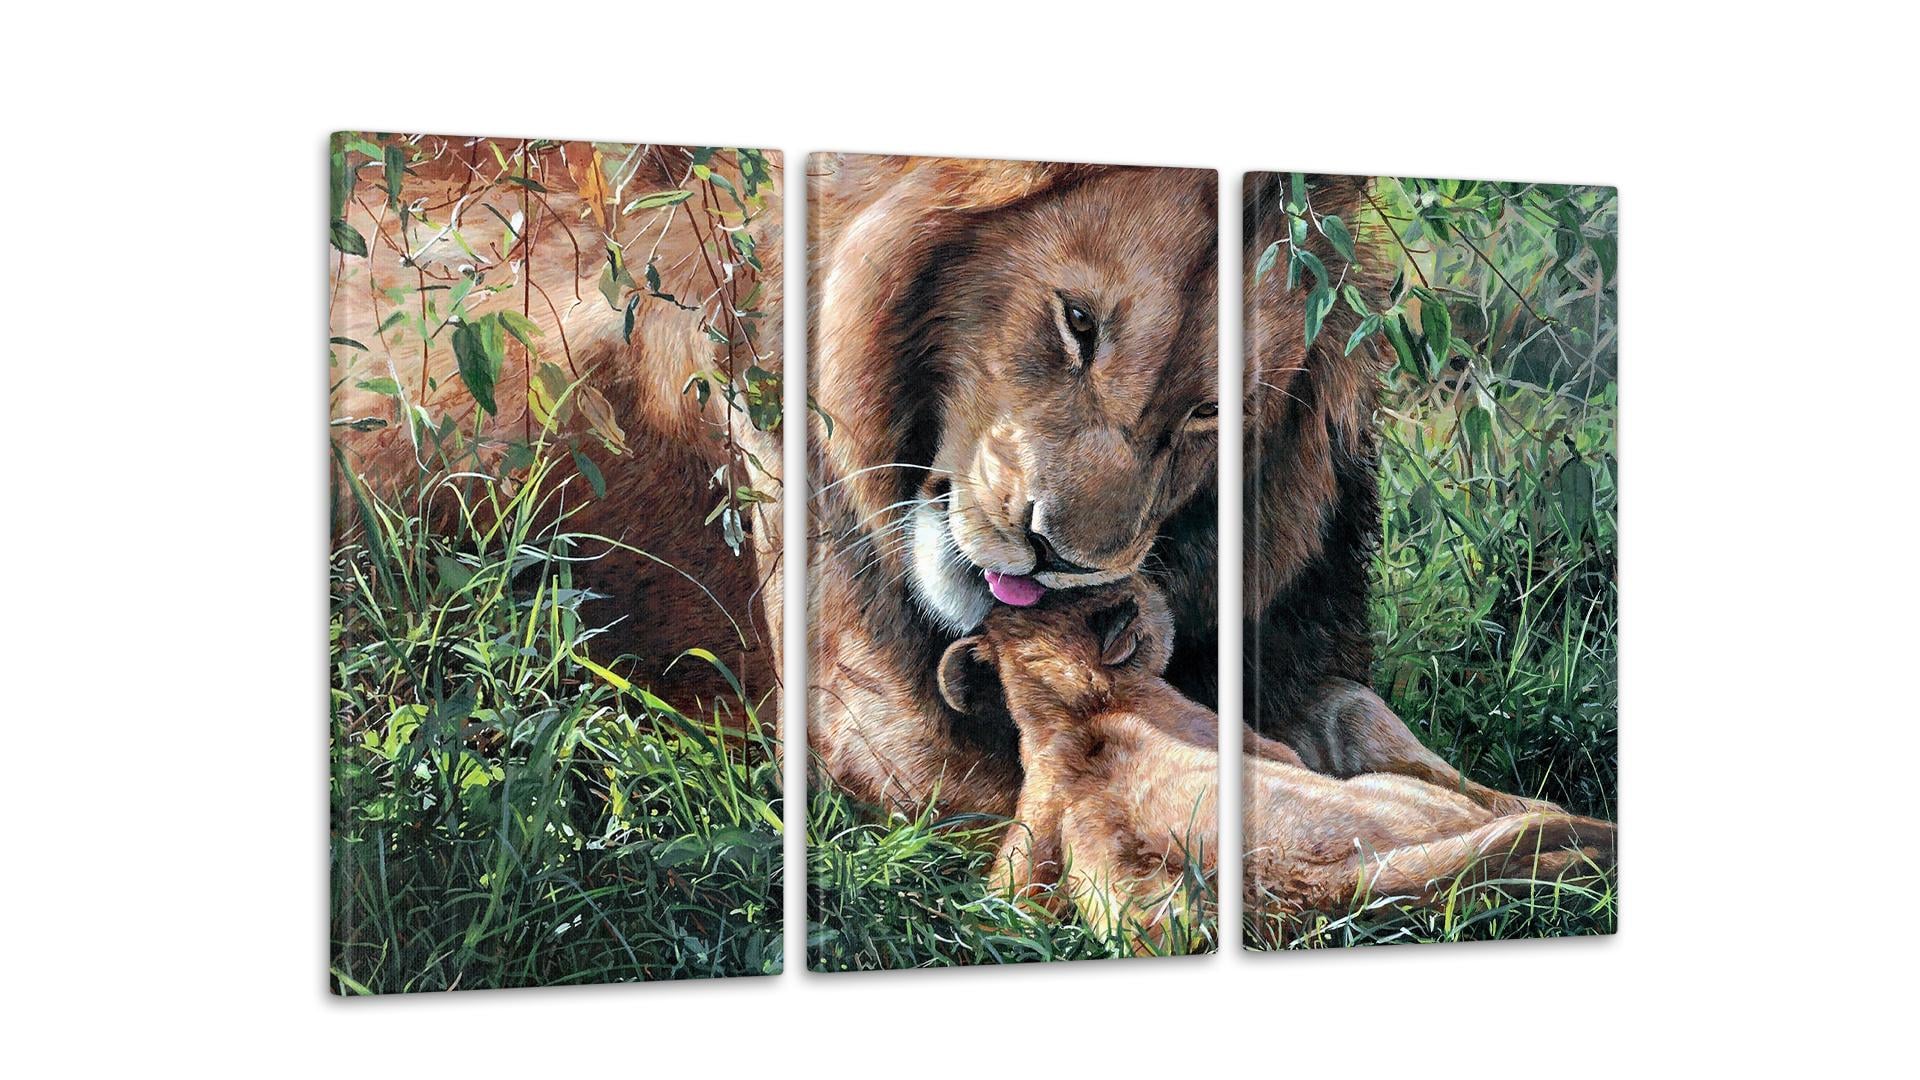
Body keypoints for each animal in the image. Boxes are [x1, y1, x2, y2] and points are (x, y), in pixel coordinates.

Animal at [935, 579, 1614, 949]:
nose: (1151, 582)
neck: (1071, 712)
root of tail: (1329, 888)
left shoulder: (1022, 859)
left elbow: (998, 907)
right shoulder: (1267, 745)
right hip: (1398, 796)